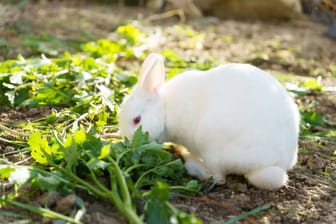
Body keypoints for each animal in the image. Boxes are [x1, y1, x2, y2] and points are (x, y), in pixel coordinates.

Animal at [118, 53, 300, 191]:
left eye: (136, 120)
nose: (130, 144)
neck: (165, 109)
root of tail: (274, 163)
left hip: (210, 146)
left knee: (217, 177)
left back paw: (192, 165)